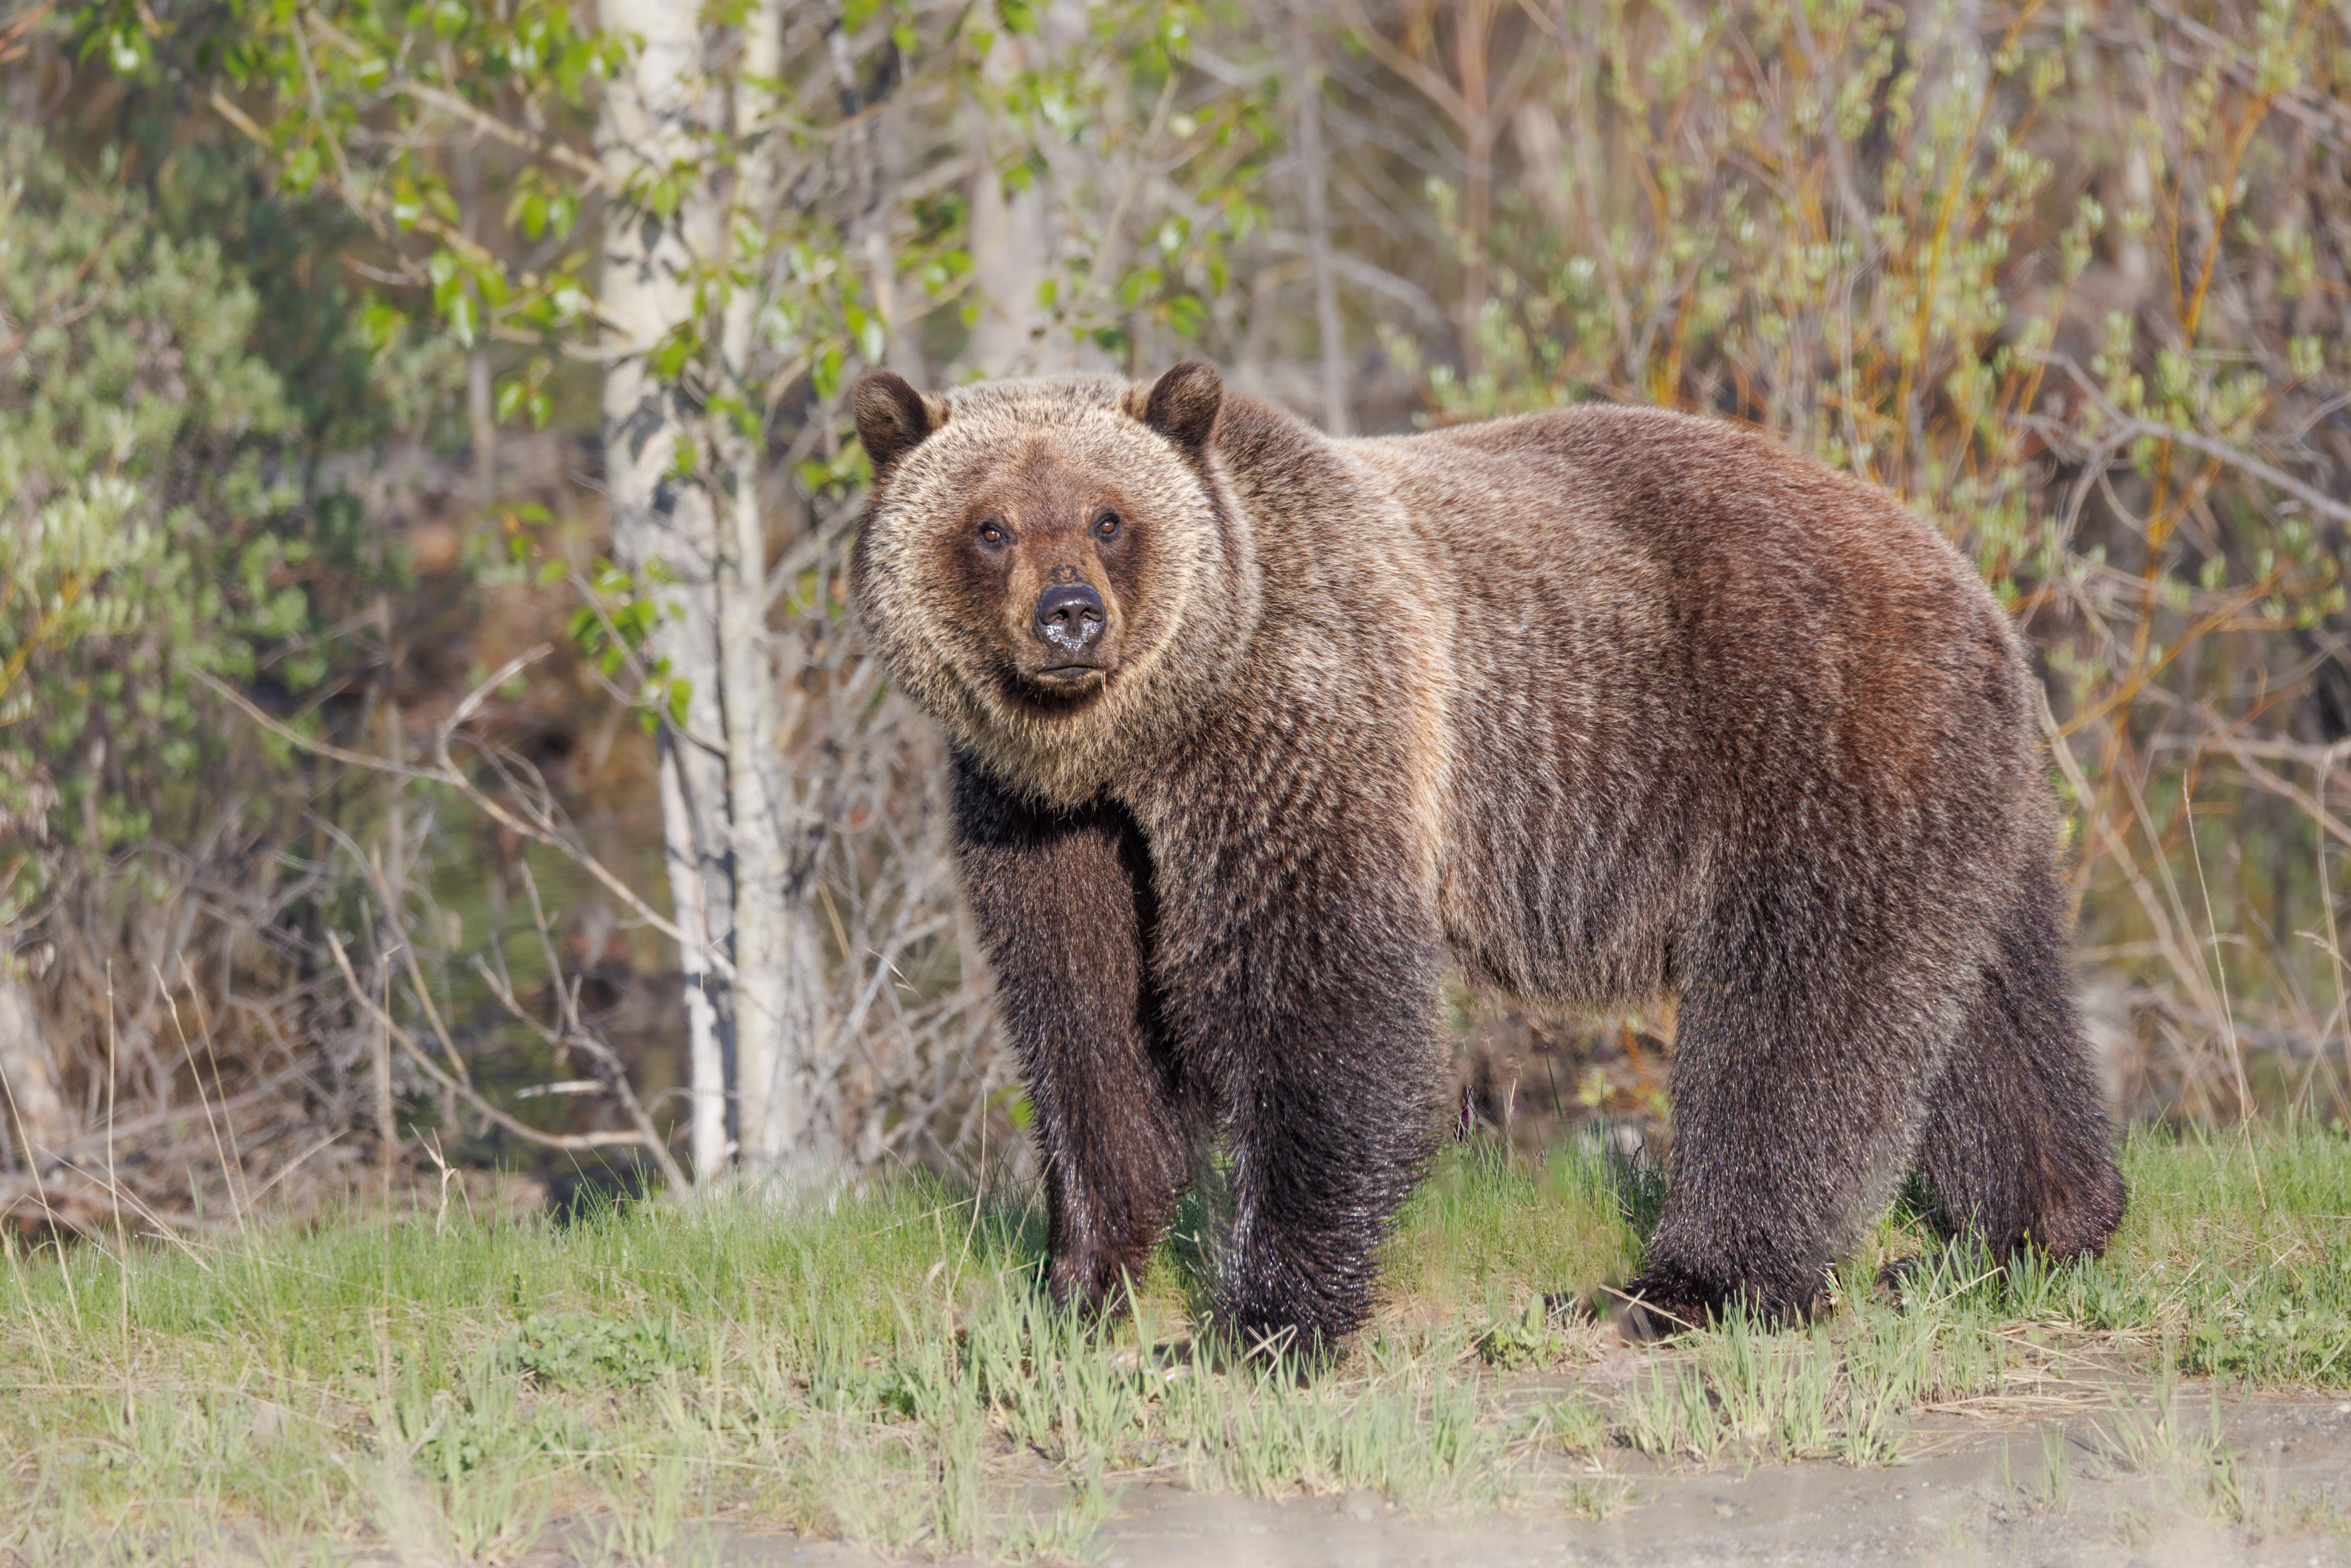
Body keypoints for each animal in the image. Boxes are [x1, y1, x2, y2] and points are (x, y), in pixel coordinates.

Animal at [848, 359, 2126, 1352]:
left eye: (1110, 516)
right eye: (992, 525)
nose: (1069, 614)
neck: (1142, 739)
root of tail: (1961, 572)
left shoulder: (1307, 723)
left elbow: (1320, 1005)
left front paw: (1262, 1318)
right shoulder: (1041, 819)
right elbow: (1087, 1023)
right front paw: (1073, 1283)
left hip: (1814, 742)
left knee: (1799, 1022)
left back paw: (1690, 1282)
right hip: (1964, 803)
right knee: (1994, 1012)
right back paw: (2028, 1230)